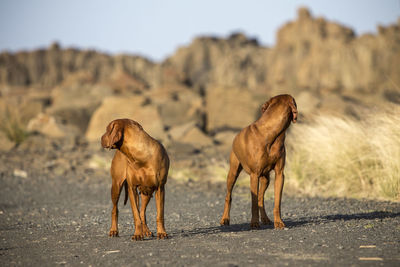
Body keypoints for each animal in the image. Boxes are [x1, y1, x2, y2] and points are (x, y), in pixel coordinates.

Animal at [219, 94, 296, 230]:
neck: (272, 133)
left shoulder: (280, 174)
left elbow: (277, 202)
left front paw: (278, 222)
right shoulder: (254, 175)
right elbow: (253, 203)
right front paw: (254, 223)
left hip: (266, 178)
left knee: (261, 198)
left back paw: (265, 219)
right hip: (233, 172)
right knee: (229, 196)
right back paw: (225, 219)